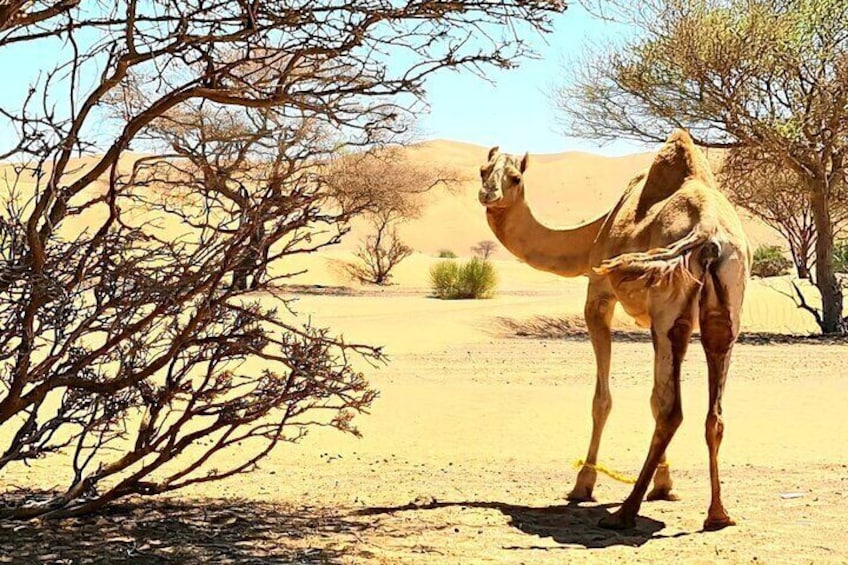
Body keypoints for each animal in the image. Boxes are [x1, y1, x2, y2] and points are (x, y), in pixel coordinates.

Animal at [478, 130, 750, 530]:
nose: (488, 194)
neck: (592, 235)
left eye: (514, 178)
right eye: (483, 171)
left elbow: (603, 400)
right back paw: (718, 513)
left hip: (670, 311)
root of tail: (708, 231)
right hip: (726, 308)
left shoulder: (598, 297)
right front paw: (665, 486)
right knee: (711, 413)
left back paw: (625, 512)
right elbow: (651, 398)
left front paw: (583, 485)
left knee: (672, 410)